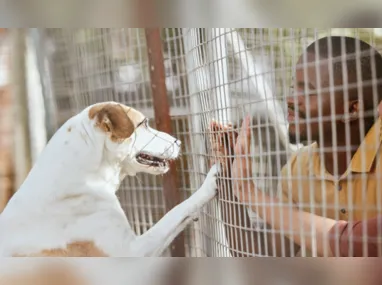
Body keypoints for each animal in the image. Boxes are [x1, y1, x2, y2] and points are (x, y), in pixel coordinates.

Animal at [0, 101, 218, 256]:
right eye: (144, 124)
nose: (178, 141)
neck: (84, 175)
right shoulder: (133, 252)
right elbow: (174, 213)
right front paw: (207, 185)